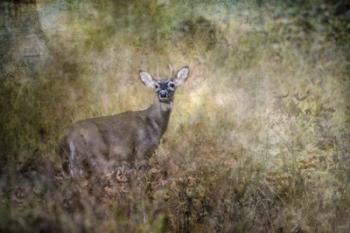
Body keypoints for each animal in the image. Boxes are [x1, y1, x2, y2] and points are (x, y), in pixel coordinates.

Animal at [60, 64, 191, 177]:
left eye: (172, 84)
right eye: (156, 86)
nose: (163, 94)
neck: (155, 124)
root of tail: (68, 135)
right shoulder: (141, 149)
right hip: (94, 150)